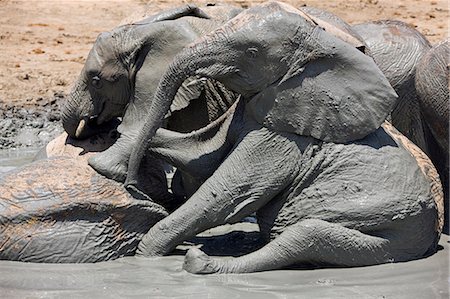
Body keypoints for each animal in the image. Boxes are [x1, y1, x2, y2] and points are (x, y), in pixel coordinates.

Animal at [110, 2, 442, 274]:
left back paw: (201, 262)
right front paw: (108, 157)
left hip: (397, 230)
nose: (131, 184)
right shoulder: (254, 106)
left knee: (305, 235)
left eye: (252, 53)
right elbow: (200, 153)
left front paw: (145, 257)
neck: (320, 45)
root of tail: (432, 236)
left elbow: (227, 194)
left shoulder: (284, 137)